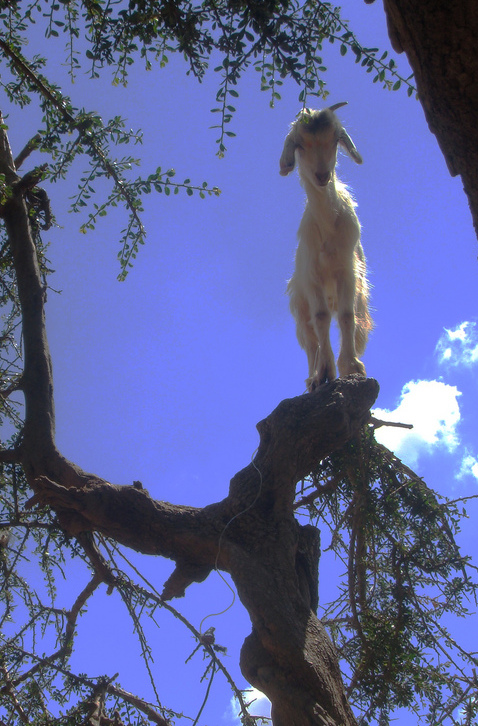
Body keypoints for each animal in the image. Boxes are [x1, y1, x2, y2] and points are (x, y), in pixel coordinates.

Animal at [280, 102, 372, 391]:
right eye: (299, 145)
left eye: (335, 140)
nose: (322, 175)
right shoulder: (312, 278)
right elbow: (320, 319)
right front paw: (325, 372)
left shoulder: (348, 272)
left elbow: (346, 316)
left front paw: (351, 366)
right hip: (299, 306)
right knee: (311, 340)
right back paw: (312, 379)